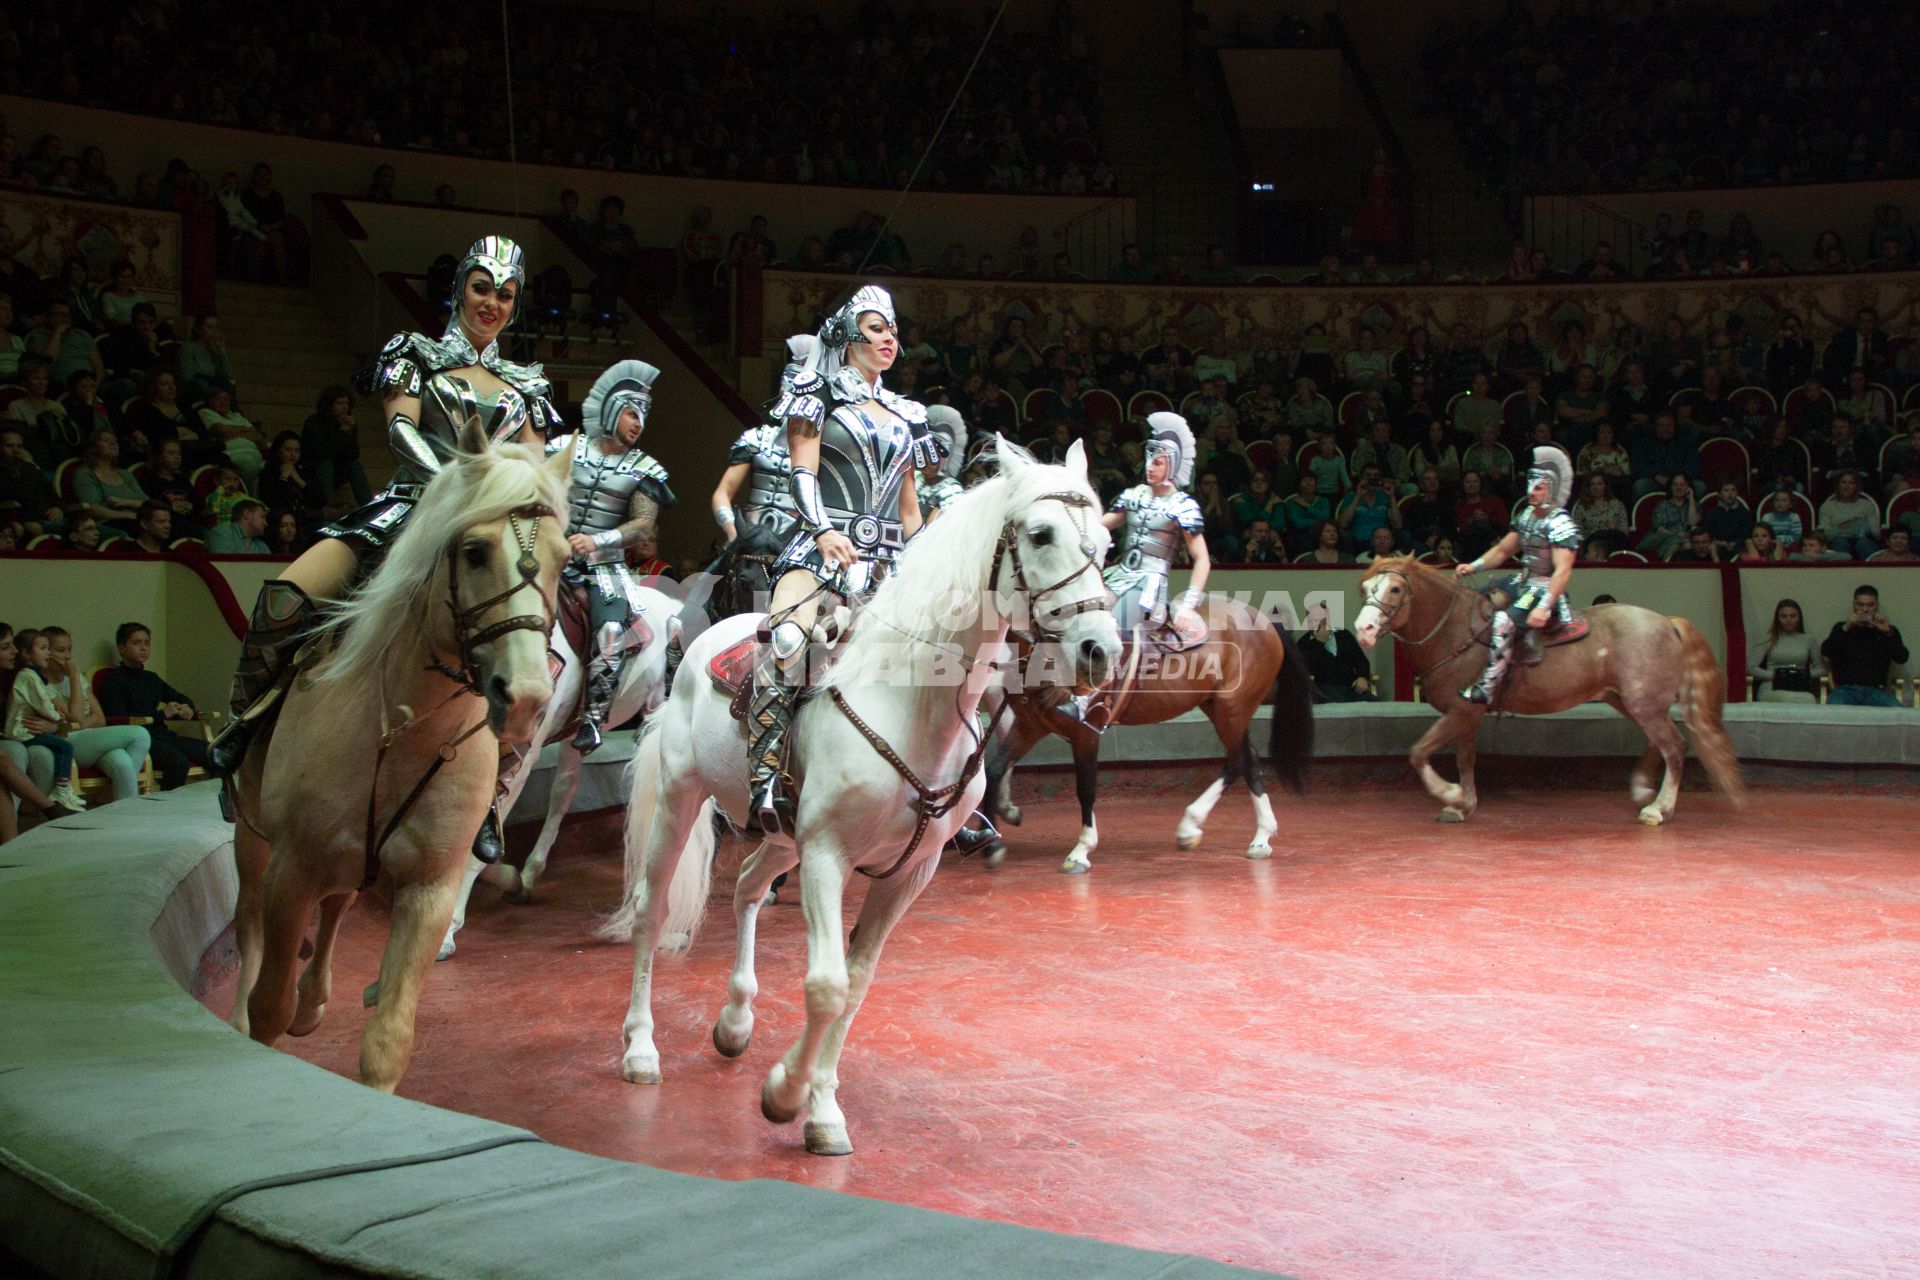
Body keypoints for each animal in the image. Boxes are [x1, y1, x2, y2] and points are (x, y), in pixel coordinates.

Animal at [226, 422, 568, 1090]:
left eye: (566, 558)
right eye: (474, 551)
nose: (525, 697)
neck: (404, 732)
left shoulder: (428, 889)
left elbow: (388, 1041)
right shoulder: (289, 871)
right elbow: (268, 1003)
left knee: (339, 901)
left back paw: (316, 1001)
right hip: (252, 840)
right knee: (249, 918)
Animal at [441, 579, 691, 959]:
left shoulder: (520, 754)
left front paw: (449, 929)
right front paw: (510, 879)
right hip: (574, 734)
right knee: (564, 791)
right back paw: (529, 874)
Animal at [602, 441, 1121, 1159]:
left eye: (1105, 541)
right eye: (1041, 534)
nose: (1102, 651)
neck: (910, 701)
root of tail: (702, 638)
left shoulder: (908, 872)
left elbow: (856, 987)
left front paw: (815, 1104)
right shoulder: (826, 855)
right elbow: (827, 986)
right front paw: (789, 1097)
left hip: (780, 835)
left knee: (748, 885)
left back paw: (734, 1022)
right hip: (684, 800)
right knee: (652, 912)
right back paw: (640, 1050)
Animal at [983, 594, 1313, 875]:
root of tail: (1265, 621)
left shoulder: (1085, 733)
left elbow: (1085, 788)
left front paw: (1081, 851)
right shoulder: (1029, 726)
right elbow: (994, 770)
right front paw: (991, 842)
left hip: (1231, 709)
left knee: (1238, 760)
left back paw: (1203, 827)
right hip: (1219, 707)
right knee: (1247, 760)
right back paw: (1251, 837)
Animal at [1351, 556, 1743, 825]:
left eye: (1395, 589)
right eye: (1367, 590)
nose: (1364, 629)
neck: (1457, 631)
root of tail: (1667, 622)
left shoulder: (1461, 711)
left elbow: (1419, 752)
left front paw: (1449, 792)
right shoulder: (1466, 712)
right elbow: (1465, 758)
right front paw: (1463, 803)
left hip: (1643, 703)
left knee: (1674, 747)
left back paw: (1658, 809)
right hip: (1629, 700)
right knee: (1660, 743)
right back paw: (1643, 787)